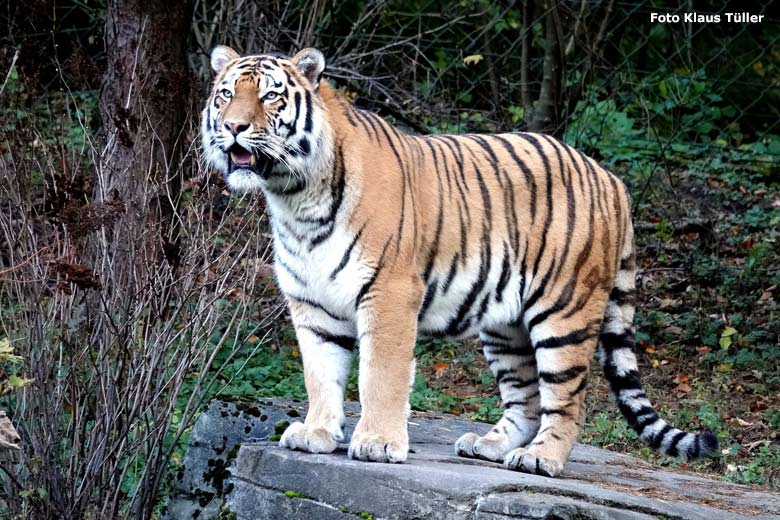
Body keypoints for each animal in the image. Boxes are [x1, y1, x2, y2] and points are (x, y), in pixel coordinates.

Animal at [203, 46, 720, 478]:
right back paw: (488, 446)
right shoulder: (312, 304)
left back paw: (541, 459)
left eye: (270, 96)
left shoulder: (389, 293)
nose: (233, 127)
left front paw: (378, 443)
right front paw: (316, 433)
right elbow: (320, 373)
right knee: (527, 398)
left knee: (568, 401)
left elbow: (381, 376)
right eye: (226, 95)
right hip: (506, 325)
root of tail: (610, 178)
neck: (295, 198)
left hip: (565, 312)